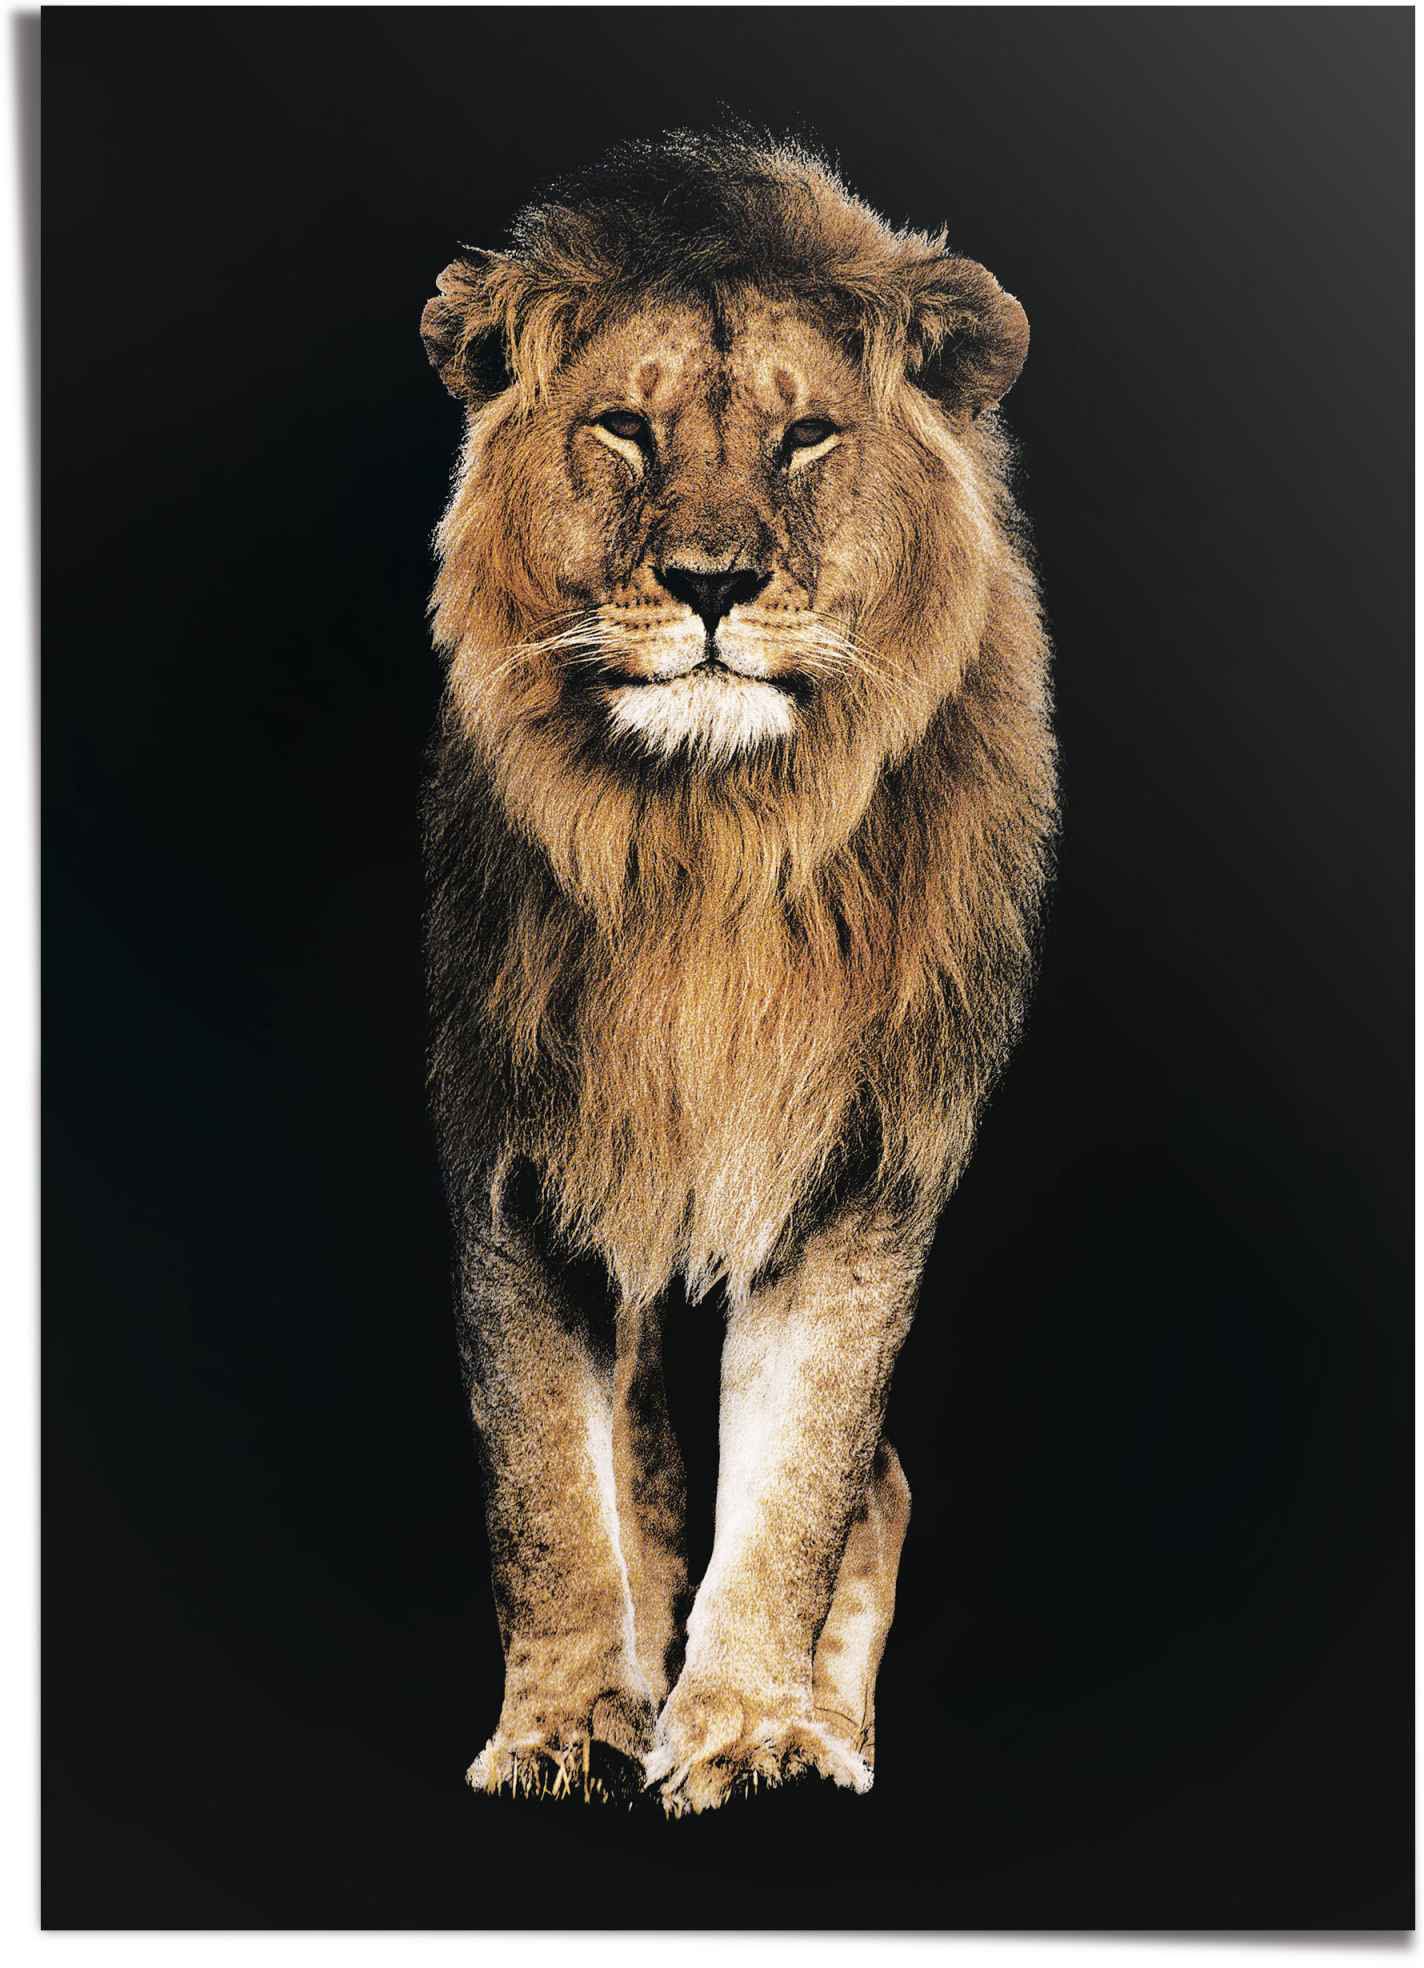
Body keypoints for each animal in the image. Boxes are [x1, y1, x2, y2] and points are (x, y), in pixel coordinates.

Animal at [420, 130, 1056, 1816]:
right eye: (625, 429)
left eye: (810, 436)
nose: (712, 582)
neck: (708, 847)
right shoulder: (514, 1156)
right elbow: (548, 1490)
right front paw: (566, 1726)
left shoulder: (870, 1161)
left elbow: (803, 1477)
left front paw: (755, 1728)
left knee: (876, 1491)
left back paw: (826, 1729)